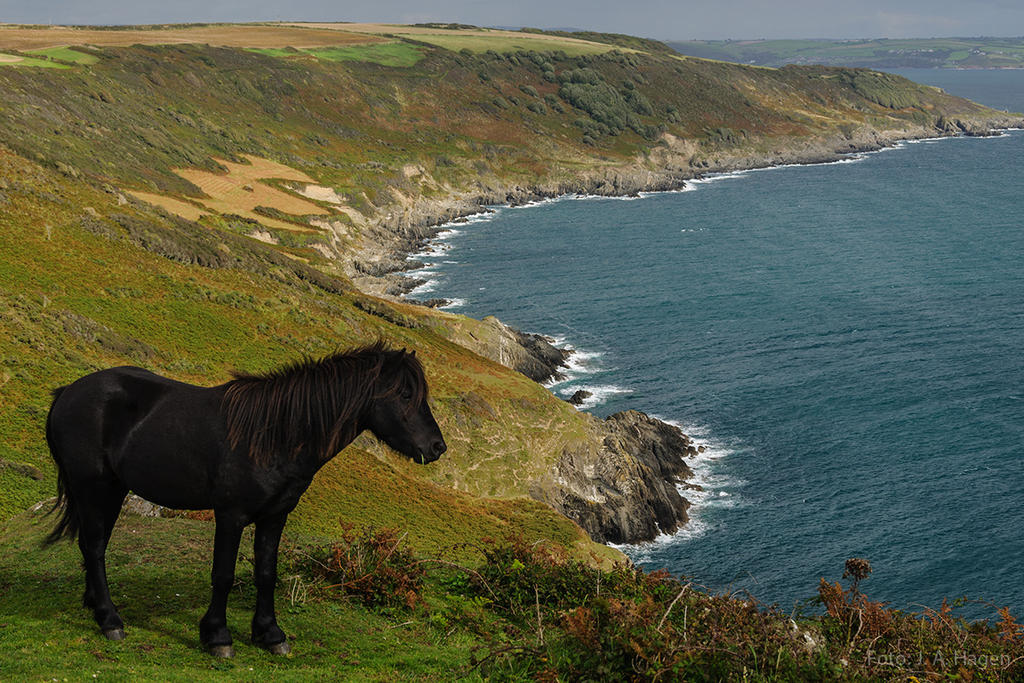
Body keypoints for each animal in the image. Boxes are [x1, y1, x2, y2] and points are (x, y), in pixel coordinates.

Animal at [45, 344, 444, 659]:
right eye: (405, 395)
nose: (437, 447)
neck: (275, 434)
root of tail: (67, 392)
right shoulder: (231, 515)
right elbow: (222, 574)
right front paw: (217, 636)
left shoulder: (275, 516)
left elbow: (266, 573)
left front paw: (270, 634)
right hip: (94, 488)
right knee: (95, 547)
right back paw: (110, 619)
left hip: (108, 491)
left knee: (91, 545)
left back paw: (94, 605)